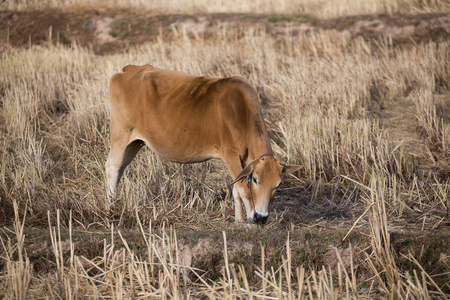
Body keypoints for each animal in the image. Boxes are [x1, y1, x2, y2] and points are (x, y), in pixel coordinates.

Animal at [106, 65, 300, 225]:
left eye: (278, 185)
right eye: (257, 180)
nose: (261, 217)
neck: (241, 111)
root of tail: (128, 70)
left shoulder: (244, 160)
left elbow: (236, 189)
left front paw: (238, 220)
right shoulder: (230, 155)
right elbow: (242, 189)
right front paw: (248, 221)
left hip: (135, 143)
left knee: (119, 168)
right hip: (120, 135)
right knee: (112, 168)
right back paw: (110, 207)